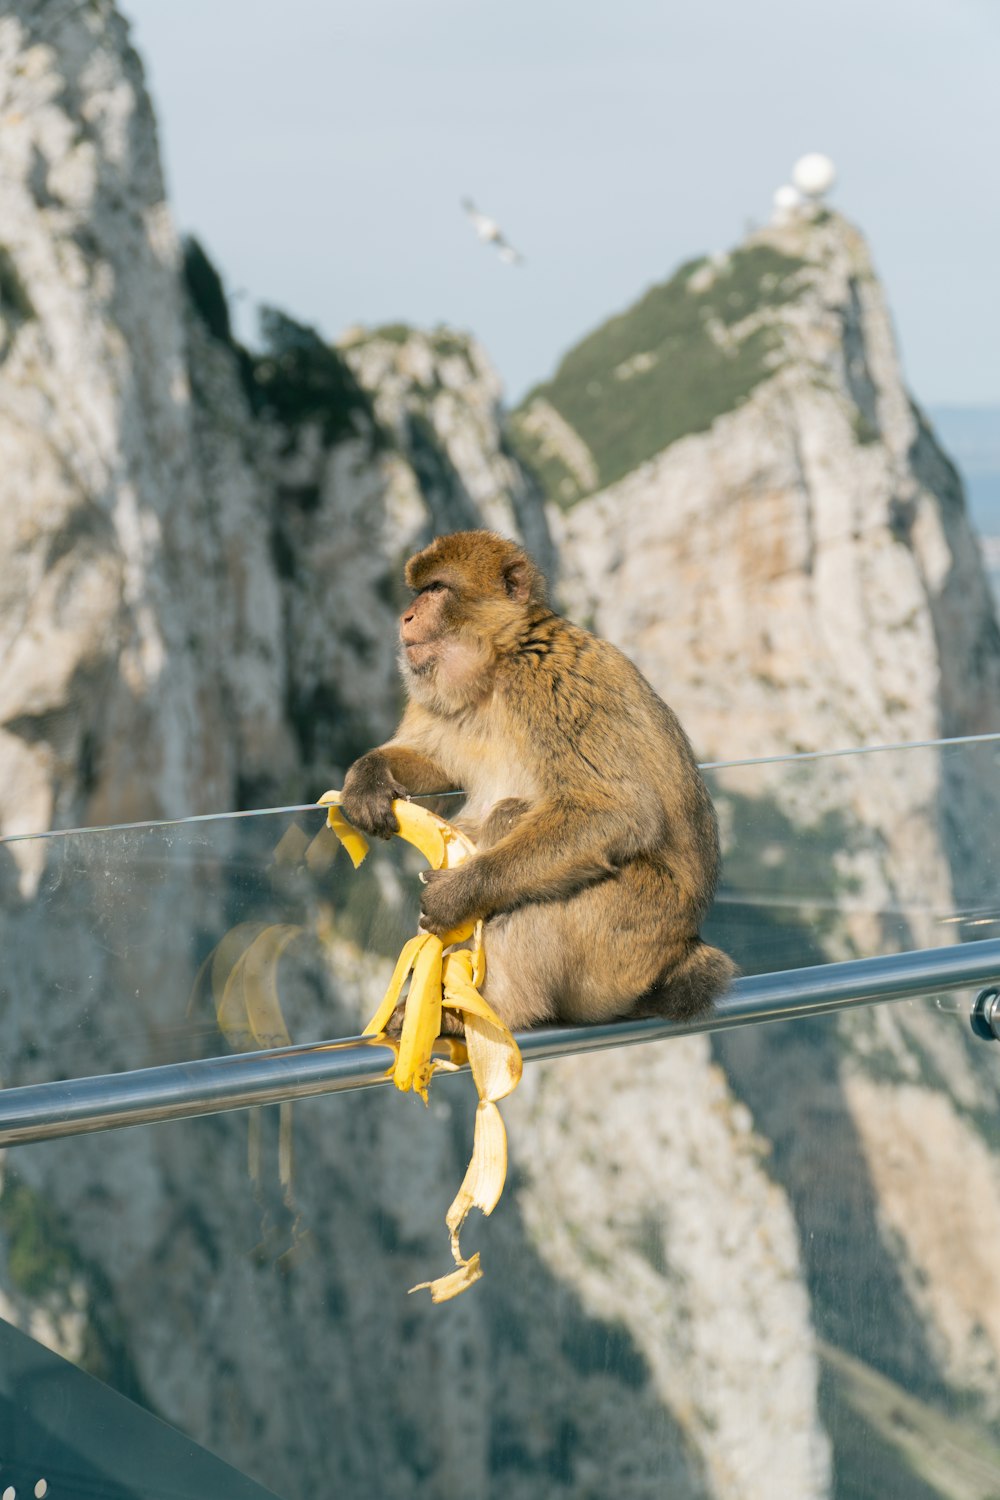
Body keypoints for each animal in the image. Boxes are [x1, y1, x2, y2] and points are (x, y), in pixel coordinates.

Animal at [340, 528, 740, 1032]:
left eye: (435, 589)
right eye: (418, 591)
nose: (406, 616)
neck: (496, 665)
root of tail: (683, 949)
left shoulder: (551, 682)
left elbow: (615, 811)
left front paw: (458, 894)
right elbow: (431, 764)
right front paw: (367, 778)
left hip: (631, 938)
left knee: (516, 822)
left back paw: (495, 1007)